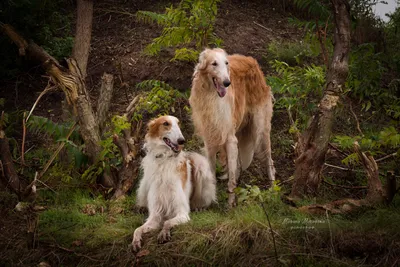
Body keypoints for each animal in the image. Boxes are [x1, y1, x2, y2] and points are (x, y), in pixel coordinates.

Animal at [131, 116, 216, 252]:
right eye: (166, 123)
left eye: (178, 124)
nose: (182, 140)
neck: (164, 160)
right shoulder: (155, 216)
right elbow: (138, 229)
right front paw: (135, 241)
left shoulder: (182, 213)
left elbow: (167, 222)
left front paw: (164, 233)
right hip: (144, 183)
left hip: (200, 165)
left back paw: (200, 207)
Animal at [190, 48, 276, 207]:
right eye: (214, 63)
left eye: (226, 63)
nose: (227, 83)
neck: (212, 96)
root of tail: (252, 61)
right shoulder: (210, 139)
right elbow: (213, 170)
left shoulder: (229, 138)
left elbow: (230, 175)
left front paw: (230, 204)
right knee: (239, 165)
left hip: (261, 128)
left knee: (269, 160)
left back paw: (273, 188)